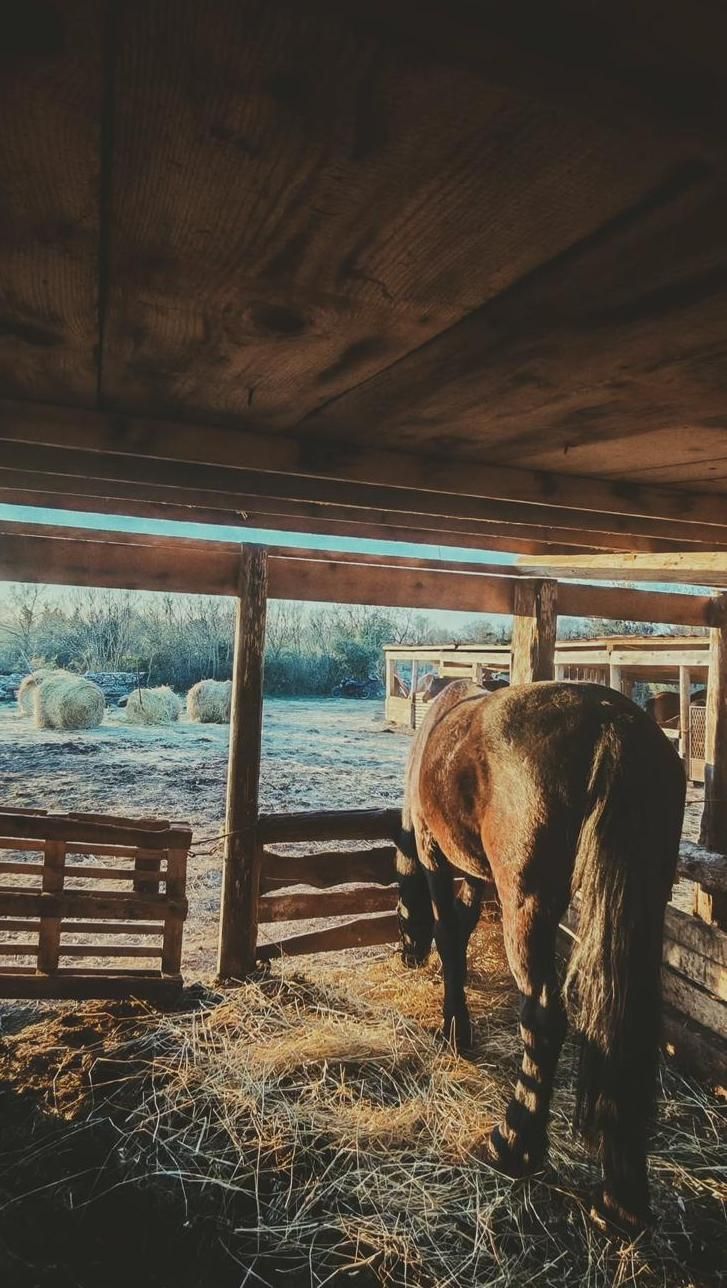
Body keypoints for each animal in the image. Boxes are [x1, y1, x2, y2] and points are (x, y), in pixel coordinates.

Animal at [395, 679, 685, 1231]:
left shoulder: (433, 853)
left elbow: (448, 934)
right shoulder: (475, 875)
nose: (406, 955)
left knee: (544, 1014)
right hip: (643, 902)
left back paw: (515, 1144)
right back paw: (621, 1192)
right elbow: (461, 930)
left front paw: (454, 1025)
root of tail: (611, 723)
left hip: (525, 903)